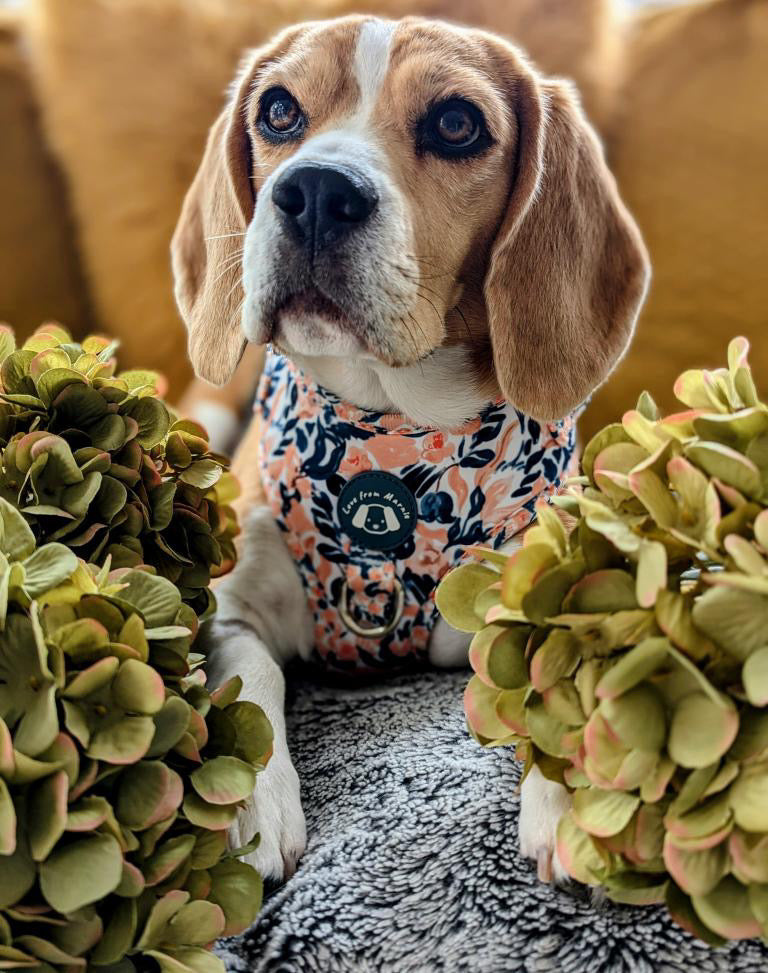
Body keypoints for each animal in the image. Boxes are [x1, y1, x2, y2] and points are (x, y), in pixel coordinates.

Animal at [170, 11, 648, 884]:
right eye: (279, 111)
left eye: (457, 123)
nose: (317, 192)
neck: (389, 437)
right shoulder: (231, 611)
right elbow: (250, 679)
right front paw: (250, 800)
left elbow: (551, 666)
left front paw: (575, 791)